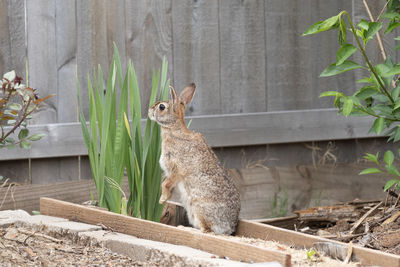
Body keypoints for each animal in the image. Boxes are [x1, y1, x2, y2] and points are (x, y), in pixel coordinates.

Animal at [148, 83, 239, 234]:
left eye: (161, 107)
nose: (149, 111)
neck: (174, 129)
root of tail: (229, 227)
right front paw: (165, 199)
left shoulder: (177, 169)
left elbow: (165, 184)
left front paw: (161, 200)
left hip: (199, 207)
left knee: (207, 230)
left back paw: (184, 228)